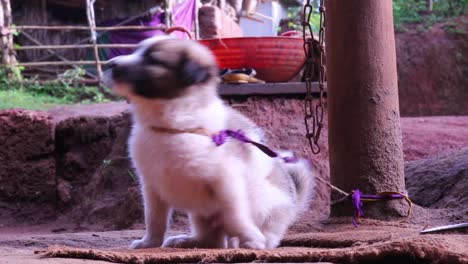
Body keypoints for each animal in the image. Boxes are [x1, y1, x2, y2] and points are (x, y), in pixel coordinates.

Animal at [106, 35, 314, 250]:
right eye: (136, 50)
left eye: (153, 60)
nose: (108, 64)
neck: (172, 127)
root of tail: (292, 204)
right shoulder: (151, 186)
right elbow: (154, 218)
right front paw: (149, 243)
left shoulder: (226, 181)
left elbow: (235, 216)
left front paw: (251, 239)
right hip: (201, 214)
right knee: (212, 239)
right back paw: (187, 241)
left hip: (259, 199)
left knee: (254, 233)